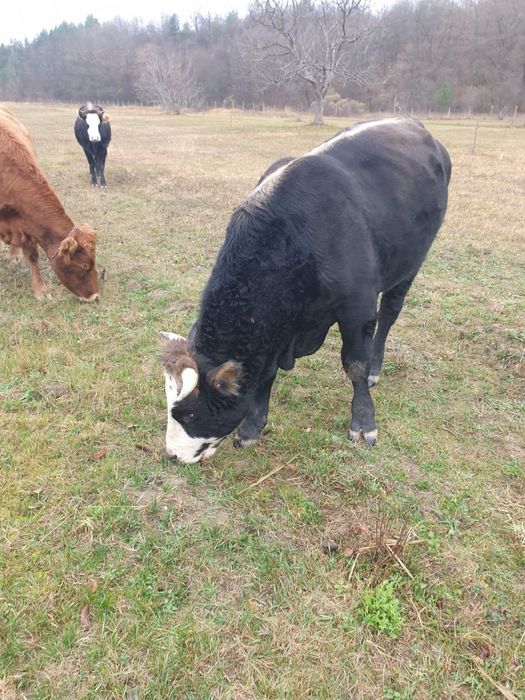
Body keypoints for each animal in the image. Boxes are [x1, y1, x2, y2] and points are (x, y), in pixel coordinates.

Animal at [160, 117, 452, 464]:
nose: (172, 454)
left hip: (410, 265)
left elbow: (355, 364)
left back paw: (376, 368)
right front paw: (252, 426)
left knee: (390, 314)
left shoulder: (357, 308)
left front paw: (364, 422)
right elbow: (266, 373)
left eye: (190, 413)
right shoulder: (276, 330)